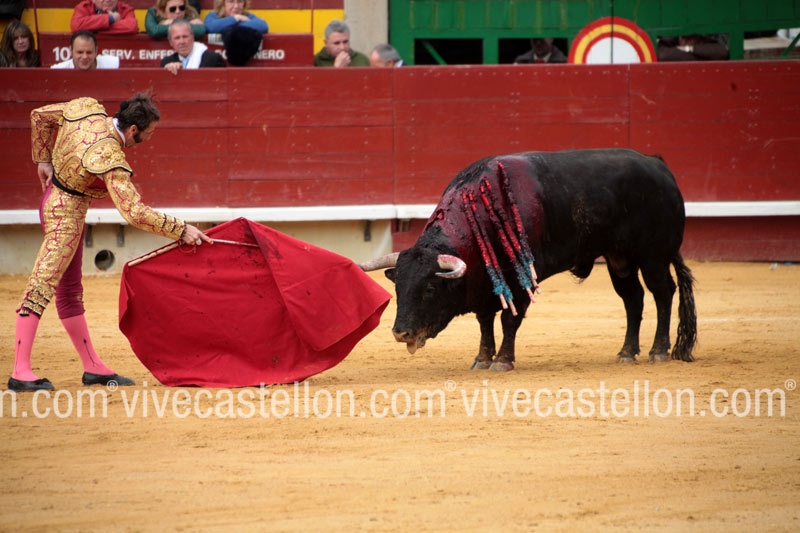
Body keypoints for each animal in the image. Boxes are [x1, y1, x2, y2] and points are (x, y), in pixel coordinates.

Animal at [360, 148, 697, 371]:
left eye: (430, 288)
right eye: (397, 288)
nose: (401, 332)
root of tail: (659, 165)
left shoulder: (518, 281)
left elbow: (509, 319)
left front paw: (502, 361)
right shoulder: (486, 283)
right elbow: (485, 322)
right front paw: (482, 359)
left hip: (653, 256)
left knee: (662, 293)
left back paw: (658, 350)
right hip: (620, 258)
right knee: (633, 298)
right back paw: (627, 352)